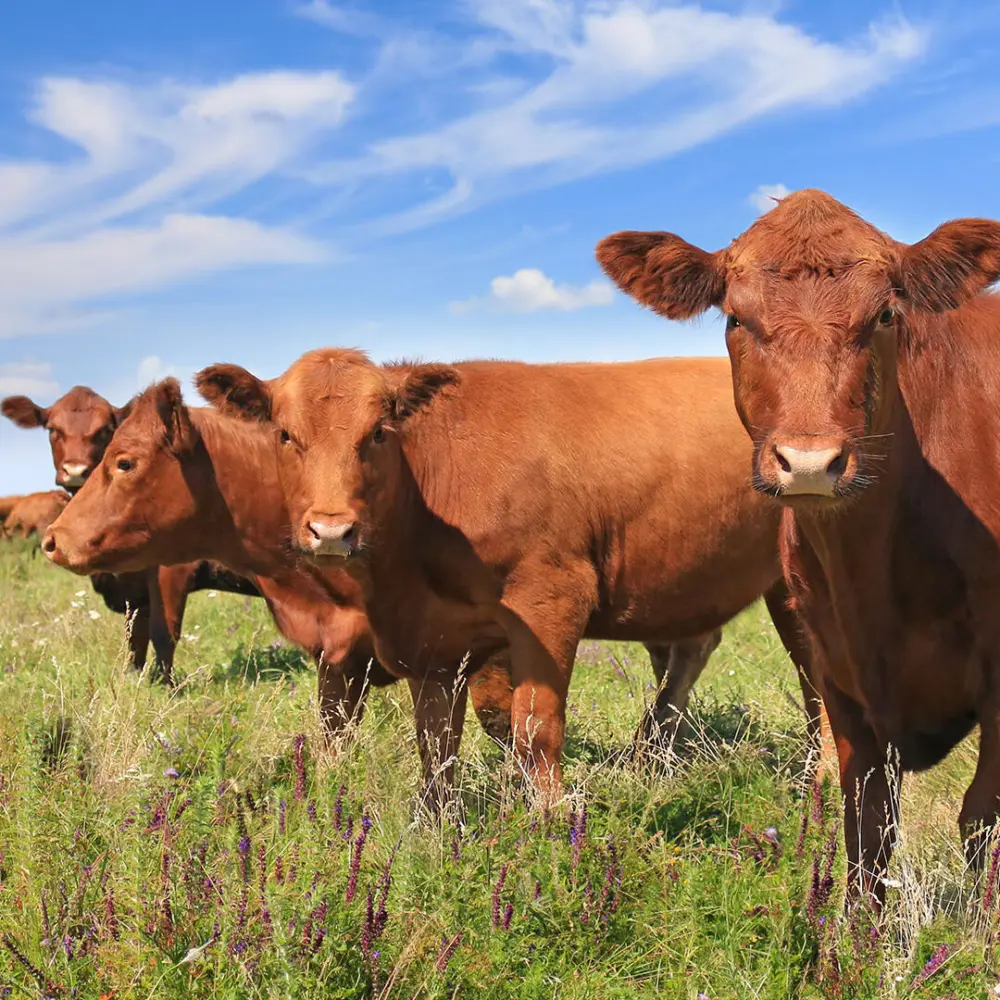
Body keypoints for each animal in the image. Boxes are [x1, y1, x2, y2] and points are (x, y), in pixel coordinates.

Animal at [2, 385, 259, 683]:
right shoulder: (134, 592)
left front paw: (168, 686)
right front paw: (134, 679)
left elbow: (163, 633)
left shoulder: (172, 572)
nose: (75, 470)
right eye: (53, 429)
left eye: (105, 429)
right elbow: (135, 637)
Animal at [191, 350, 822, 805]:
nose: (330, 530)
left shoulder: (550, 601)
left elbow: (534, 727)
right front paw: (438, 831)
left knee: (815, 679)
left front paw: (549, 827)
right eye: (284, 434)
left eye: (377, 432)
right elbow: (437, 746)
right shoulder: (433, 645)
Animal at [596, 187, 1000, 906]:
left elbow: (980, 819)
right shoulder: (839, 673)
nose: (810, 463)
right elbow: (867, 832)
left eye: (886, 313)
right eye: (734, 317)